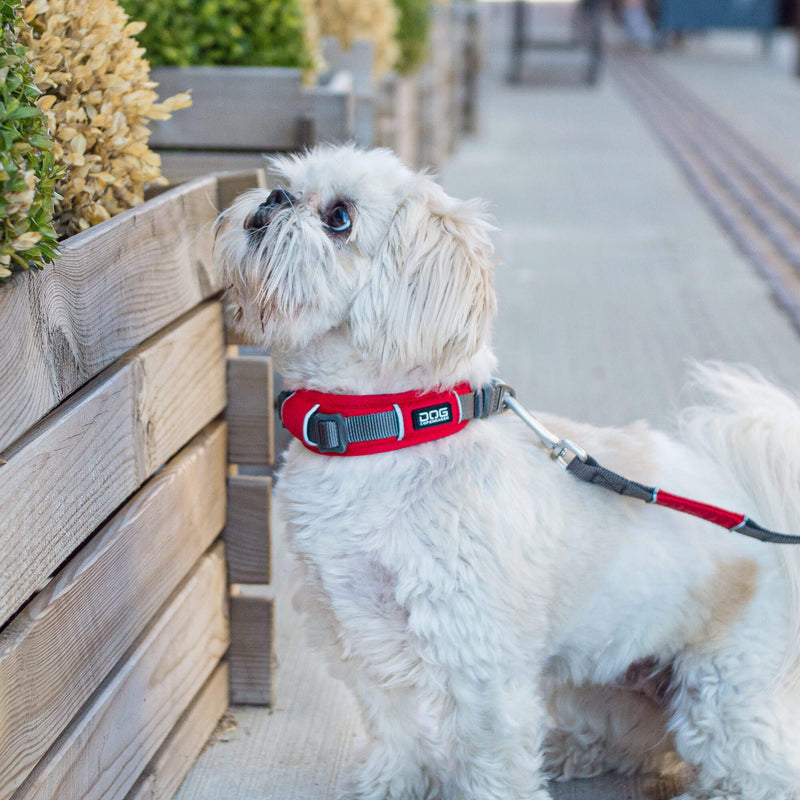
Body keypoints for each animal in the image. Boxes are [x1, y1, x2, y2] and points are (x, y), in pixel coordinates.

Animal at [216, 145, 800, 800]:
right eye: (286, 186)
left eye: (339, 218)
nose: (272, 200)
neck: (384, 434)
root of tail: (744, 504)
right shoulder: (354, 628)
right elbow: (394, 725)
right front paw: (393, 781)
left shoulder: (478, 659)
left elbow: (489, 761)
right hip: (590, 682)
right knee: (629, 743)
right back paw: (572, 752)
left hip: (722, 692)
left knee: (760, 764)